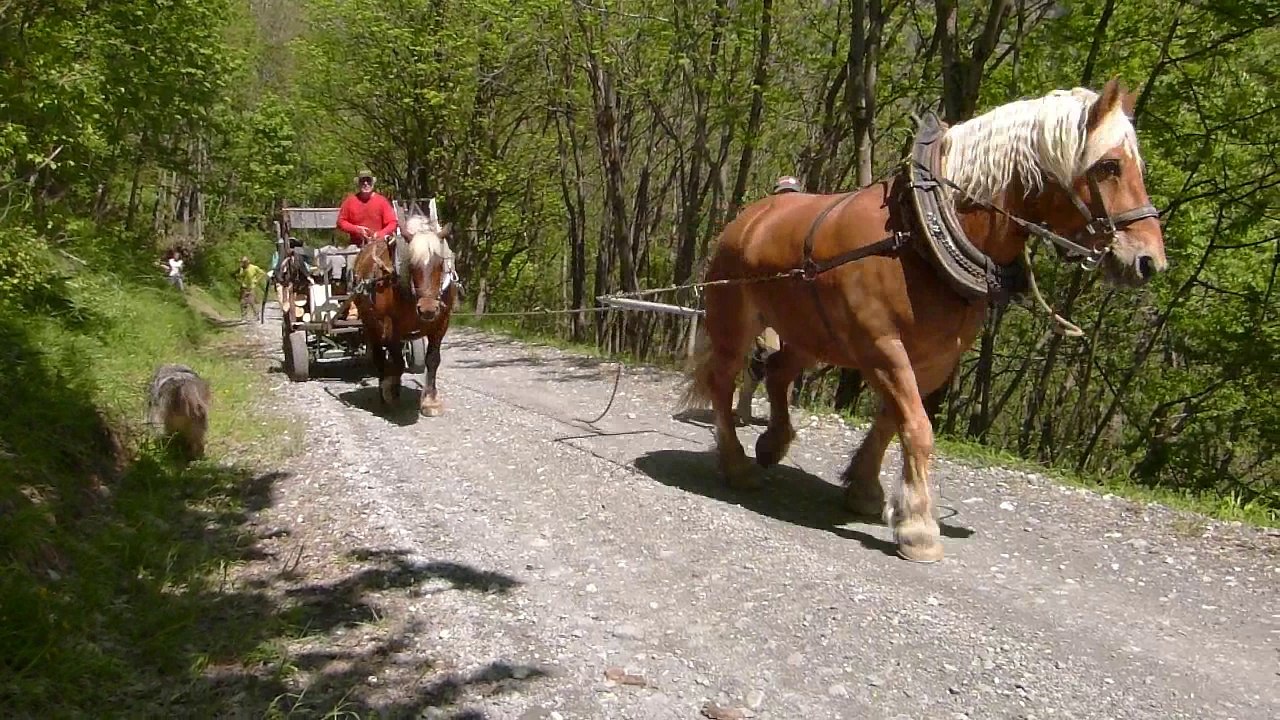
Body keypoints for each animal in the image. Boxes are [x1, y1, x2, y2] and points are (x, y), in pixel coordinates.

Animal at [351, 203, 457, 416]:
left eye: (441, 263)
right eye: (412, 263)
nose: (428, 309)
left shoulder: (441, 323)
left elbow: (432, 359)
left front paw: (430, 401)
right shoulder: (388, 326)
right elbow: (397, 362)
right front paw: (389, 391)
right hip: (370, 324)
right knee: (379, 357)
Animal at [680, 79, 1166, 563]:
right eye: (1109, 166)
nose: (1149, 262)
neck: (919, 234)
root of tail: (749, 218)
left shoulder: (935, 358)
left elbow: (893, 421)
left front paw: (866, 490)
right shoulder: (882, 347)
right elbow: (916, 427)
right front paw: (917, 526)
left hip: (811, 332)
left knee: (779, 372)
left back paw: (774, 442)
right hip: (736, 322)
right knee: (724, 381)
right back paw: (737, 464)